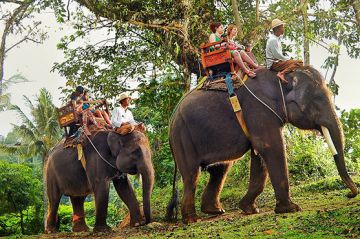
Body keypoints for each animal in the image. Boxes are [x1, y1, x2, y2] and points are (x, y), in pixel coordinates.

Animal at [166, 66, 358, 223]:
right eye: (318, 99)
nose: (349, 194)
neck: (280, 78)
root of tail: (172, 118)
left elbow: (259, 155)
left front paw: (249, 209)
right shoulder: (259, 109)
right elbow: (270, 147)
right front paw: (291, 209)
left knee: (220, 169)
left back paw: (215, 211)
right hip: (182, 137)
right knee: (192, 175)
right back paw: (191, 219)